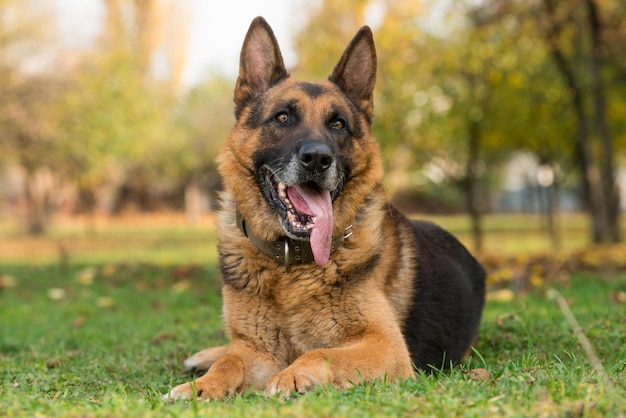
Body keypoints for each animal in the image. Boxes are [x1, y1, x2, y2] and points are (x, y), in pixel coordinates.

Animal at [163, 17, 486, 402]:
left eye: (338, 124)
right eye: (283, 117)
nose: (318, 158)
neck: (291, 265)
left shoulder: (386, 346)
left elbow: (319, 352)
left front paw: (291, 376)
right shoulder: (257, 350)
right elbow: (232, 361)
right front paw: (202, 386)